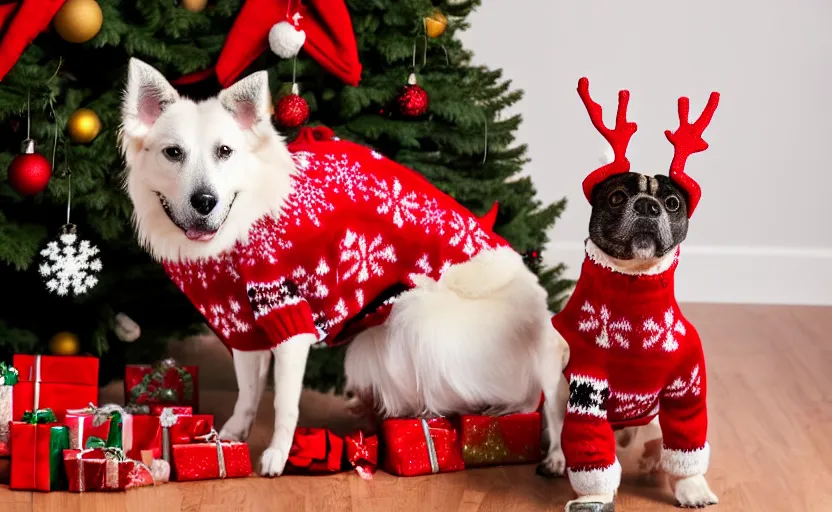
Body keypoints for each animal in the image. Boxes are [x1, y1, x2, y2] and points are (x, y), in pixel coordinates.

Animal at [118, 59, 572, 476]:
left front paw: (277, 454)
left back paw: (547, 452)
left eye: (224, 152)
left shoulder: (289, 320)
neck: (243, 222)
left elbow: (284, 404)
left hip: (417, 316)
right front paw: (231, 436)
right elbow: (248, 393)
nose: (204, 201)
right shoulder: (241, 327)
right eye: (173, 153)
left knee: (550, 398)